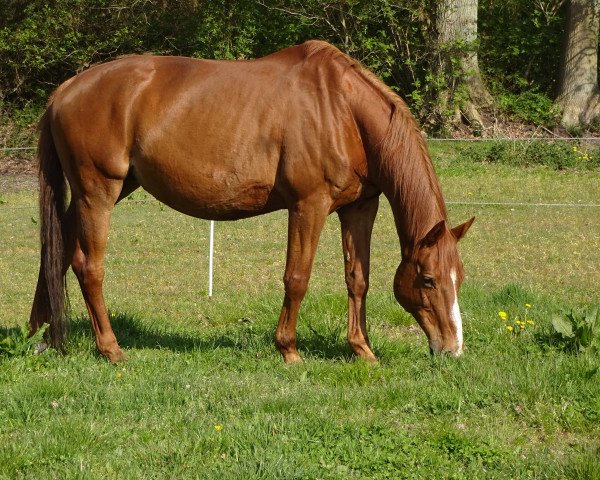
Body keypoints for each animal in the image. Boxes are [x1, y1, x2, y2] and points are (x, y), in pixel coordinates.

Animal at [30, 41, 474, 362]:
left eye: (459, 278)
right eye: (428, 279)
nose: (452, 349)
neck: (342, 110)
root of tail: (64, 91)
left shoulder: (359, 208)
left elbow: (357, 279)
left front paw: (363, 350)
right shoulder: (308, 206)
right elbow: (297, 278)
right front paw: (289, 350)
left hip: (108, 190)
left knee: (58, 249)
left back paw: (42, 336)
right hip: (98, 192)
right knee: (89, 267)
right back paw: (110, 349)